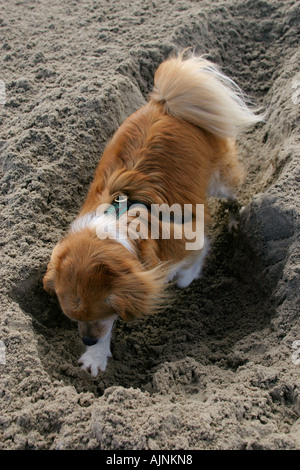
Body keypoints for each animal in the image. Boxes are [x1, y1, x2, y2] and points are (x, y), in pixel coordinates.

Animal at [42, 51, 262, 376]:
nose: (87, 339)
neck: (119, 219)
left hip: (219, 182)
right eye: (74, 319)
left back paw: (236, 221)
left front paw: (186, 278)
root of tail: (165, 104)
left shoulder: (189, 237)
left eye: (103, 313)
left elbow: (192, 263)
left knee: (233, 196)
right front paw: (96, 355)